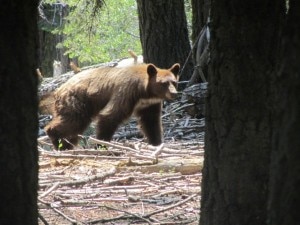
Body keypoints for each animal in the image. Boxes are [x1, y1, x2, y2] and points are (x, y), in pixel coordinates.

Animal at [44, 62, 180, 149]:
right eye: (164, 83)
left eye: (174, 82)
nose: (174, 93)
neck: (144, 92)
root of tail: (59, 89)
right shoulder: (126, 92)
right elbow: (110, 115)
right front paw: (101, 144)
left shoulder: (149, 104)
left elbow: (151, 122)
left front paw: (156, 143)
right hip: (77, 101)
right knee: (71, 121)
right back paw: (58, 142)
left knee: (74, 128)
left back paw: (67, 145)